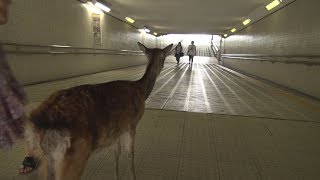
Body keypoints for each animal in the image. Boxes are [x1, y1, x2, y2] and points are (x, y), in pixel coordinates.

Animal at [18, 42, 174, 180]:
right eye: (164, 57)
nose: (163, 65)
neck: (141, 91)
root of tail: (37, 124)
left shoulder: (117, 130)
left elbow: (116, 153)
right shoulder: (132, 124)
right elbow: (130, 154)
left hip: (45, 160)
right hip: (74, 157)